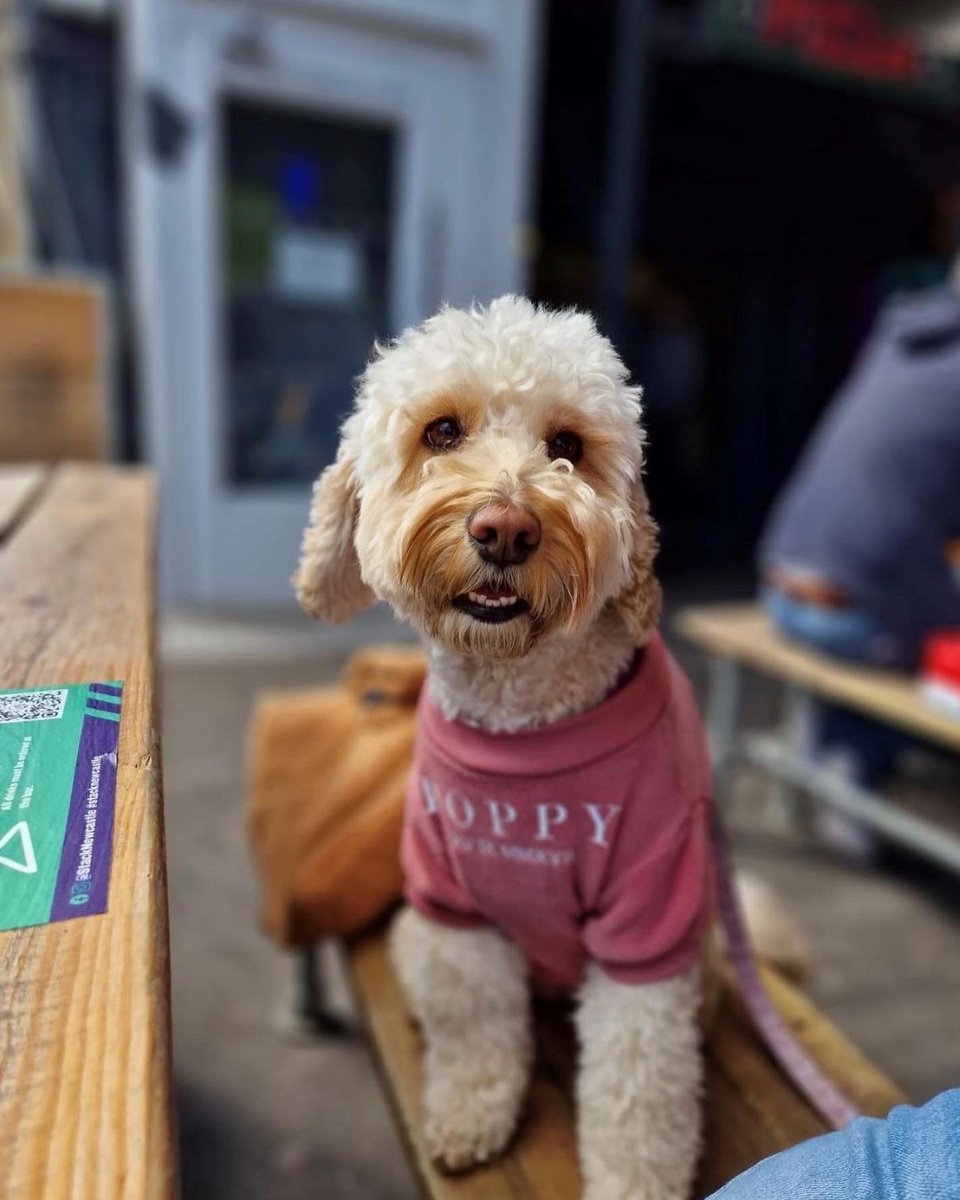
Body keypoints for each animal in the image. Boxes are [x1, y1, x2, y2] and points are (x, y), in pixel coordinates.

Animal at [296, 297, 724, 1200]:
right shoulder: (453, 905)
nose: (506, 527)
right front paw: (467, 1116)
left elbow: (640, 1084)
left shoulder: (648, 923)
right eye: (441, 431)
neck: (523, 717)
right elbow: (472, 1028)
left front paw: (635, 1183)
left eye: (567, 445)